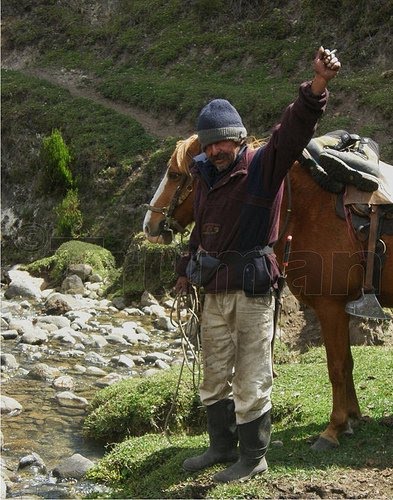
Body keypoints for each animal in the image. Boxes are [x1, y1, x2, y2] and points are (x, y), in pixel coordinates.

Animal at [144, 133, 392, 450]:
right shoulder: (338, 308)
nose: (149, 225)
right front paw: (352, 418)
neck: (309, 207)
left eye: (175, 174)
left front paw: (334, 428)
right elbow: (346, 364)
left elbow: (337, 366)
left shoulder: (331, 306)